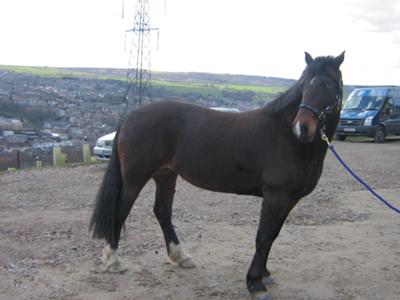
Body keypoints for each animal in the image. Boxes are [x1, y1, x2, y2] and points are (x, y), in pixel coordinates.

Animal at [90, 52, 344, 300]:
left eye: (328, 84)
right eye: (304, 84)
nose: (302, 128)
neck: (287, 138)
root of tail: (131, 115)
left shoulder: (289, 199)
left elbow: (273, 235)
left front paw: (264, 274)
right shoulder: (276, 196)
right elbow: (263, 236)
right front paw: (255, 283)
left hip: (166, 175)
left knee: (162, 211)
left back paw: (181, 257)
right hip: (135, 178)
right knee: (120, 210)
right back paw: (113, 261)